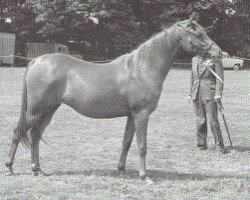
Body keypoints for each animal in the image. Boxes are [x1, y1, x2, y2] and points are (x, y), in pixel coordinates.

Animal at [5, 12, 221, 180]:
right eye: (198, 33)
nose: (219, 53)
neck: (142, 68)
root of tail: (36, 60)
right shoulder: (141, 113)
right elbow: (142, 145)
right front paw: (144, 175)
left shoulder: (131, 115)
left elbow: (127, 142)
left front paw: (122, 170)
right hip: (34, 110)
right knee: (19, 132)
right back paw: (9, 168)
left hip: (49, 110)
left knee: (35, 135)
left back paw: (38, 170)